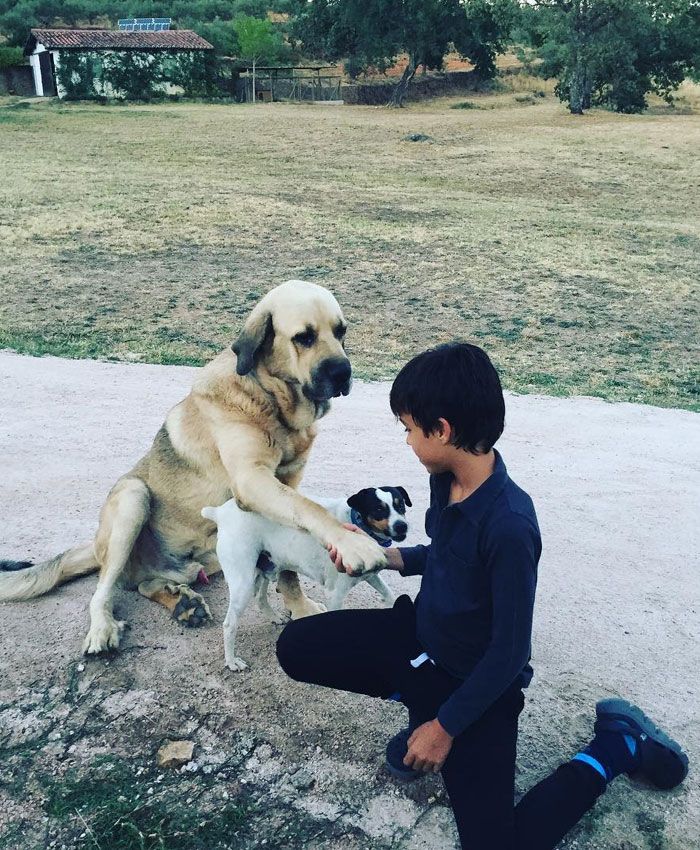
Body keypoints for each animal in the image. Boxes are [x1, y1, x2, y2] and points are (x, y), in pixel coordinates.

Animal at [0, 282, 386, 652]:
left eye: (340, 331)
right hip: (132, 497)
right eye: (304, 337)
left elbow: (291, 554)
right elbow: (310, 510)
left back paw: (182, 602)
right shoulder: (252, 480)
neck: (272, 401)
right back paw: (104, 628)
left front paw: (300, 606)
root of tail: (96, 545)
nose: (344, 373)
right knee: (104, 592)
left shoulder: (288, 483)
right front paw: (354, 544)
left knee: (148, 584)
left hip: (206, 554)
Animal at [202, 484, 410, 668]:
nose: (402, 526)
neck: (357, 523)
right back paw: (231, 662)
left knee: (260, 598)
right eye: (378, 509)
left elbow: (389, 594)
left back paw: (274, 618)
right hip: (243, 583)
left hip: (265, 568)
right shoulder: (334, 593)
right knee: (229, 624)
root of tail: (220, 512)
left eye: (400, 505)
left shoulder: (371, 575)